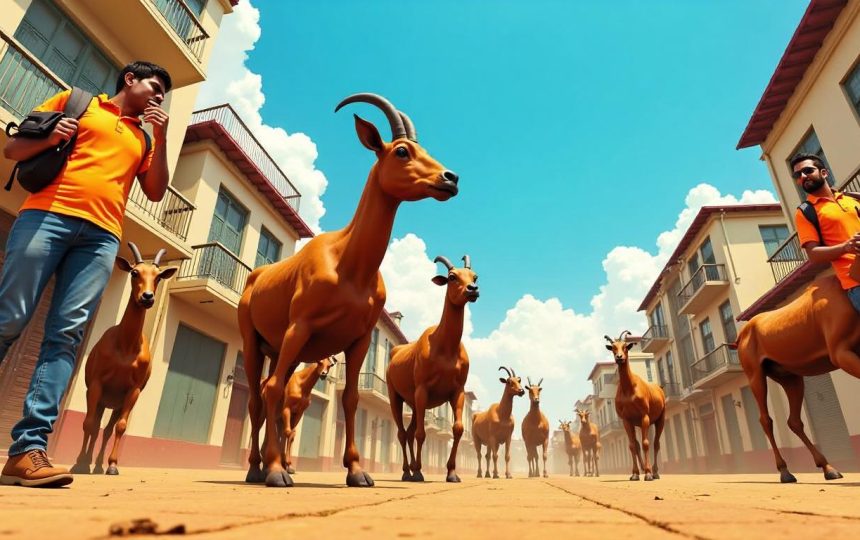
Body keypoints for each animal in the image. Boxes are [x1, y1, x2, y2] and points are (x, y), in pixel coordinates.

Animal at [70, 243, 176, 475]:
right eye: (134, 272)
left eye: (158, 276)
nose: (147, 297)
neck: (125, 347)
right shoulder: (96, 384)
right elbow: (89, 423)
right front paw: (79, 463)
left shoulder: (133, 391)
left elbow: (120, 427)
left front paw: (112, 465)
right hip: (101, 399)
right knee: (95, 425)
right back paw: (86, 462)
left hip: (116, 403)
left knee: (108, 429)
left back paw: (98, 466)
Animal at [238, 93, 459, 488]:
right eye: (402, 151)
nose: (451, 178)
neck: (348, 263)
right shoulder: (300, 326)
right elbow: (276, 391)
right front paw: (278, 470)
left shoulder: (358, 340)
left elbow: (351, 399)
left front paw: (357, 472)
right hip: (254, 340)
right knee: (260, 394)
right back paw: (257, 468)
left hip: (280, 350)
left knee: (268, 391)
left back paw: (264, 465)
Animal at [387, 255, 478, 483]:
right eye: (452, 276)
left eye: (474, 276)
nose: (473, 289)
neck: (445, 347)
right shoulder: (422, 389)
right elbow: (421, 433)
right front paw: (419, 471)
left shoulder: (457, 391)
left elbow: (458, 429)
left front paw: (452, 473)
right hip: (396, 396)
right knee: (403, 432)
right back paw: (407, 472)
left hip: (413, 403)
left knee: (410, 431)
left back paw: (411, 470)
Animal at [605, 330, 666, 481]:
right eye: (613, 347)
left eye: (625, 346)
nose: (619, 357)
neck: (629, 389)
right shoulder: (626, 420)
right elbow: (632, 445)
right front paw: (635, 474)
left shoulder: (644, 416)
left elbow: (646, 443)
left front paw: (648, 474)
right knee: (638, 444)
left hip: (660, 419)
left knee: (656, 443)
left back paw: (655, 472)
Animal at [733, 275, 860, 483]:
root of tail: (739, 337)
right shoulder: (841, 353)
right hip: (755, 375)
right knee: (766, 420)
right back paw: (785, 471)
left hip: (789, 377)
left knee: (794, 421)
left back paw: (828, 468)